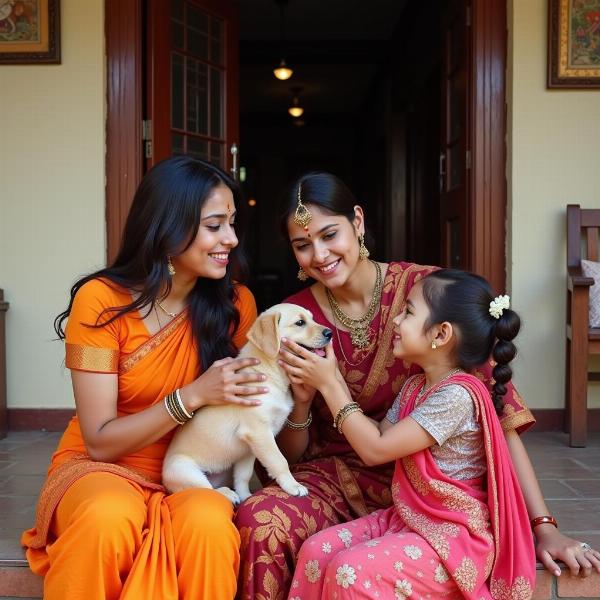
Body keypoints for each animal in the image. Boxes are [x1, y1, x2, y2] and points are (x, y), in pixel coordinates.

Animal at [162, 302, 332, 504]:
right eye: (300, 322)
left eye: (312, 318)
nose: (330, 333)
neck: (271, 373)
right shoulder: (259, 432)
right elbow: (279, 460)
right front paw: (293, 486)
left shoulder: (249, 448)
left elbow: (243, 476)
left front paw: (246, 496)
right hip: (183, 469)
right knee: (206, 490)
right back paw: (227, 493)